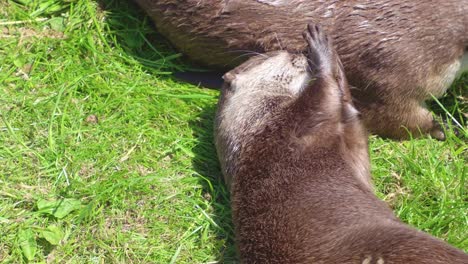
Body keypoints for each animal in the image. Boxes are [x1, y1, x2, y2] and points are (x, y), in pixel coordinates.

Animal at [214, 23, 466, 262]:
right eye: (276, 54)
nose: (295, 50)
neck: (257, 127)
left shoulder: (349, 146)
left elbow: (352, 119)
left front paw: (337, 61)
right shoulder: (294, 123)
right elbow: (322, 92)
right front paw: (322, 51)